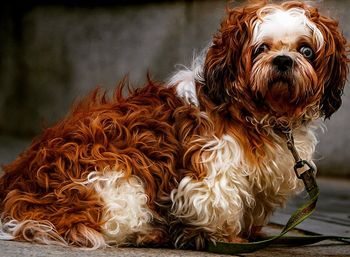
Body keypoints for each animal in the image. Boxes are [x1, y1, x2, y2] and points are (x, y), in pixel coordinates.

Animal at [0, 0, 348, 249]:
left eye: (306, 50)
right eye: (261, 48)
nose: (283, 60)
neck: (259, 111)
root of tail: (15, 190)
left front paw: (250, 233)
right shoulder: (212, 167)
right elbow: (217, 203)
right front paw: (223, 238)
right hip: (116, 182)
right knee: (90, 226)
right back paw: (148, 233)